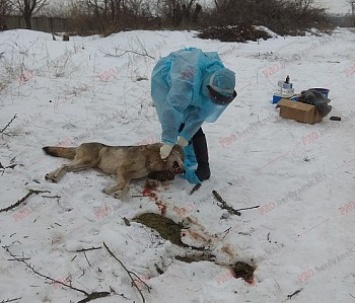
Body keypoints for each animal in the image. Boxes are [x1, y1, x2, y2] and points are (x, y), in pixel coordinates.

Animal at [43, 142, 185, 200]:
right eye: (182, 158)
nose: (184, 171)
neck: (151, 158)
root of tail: (79, 145)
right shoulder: (122, 169)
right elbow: (123, 185)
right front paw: (108, 191)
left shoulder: (127, 176)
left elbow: (126, 187)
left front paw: (119, 196)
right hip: (87, 162)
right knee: (65, 166)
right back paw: (55, 177)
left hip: (84, 165)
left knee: (64, 165)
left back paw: (50, 176)